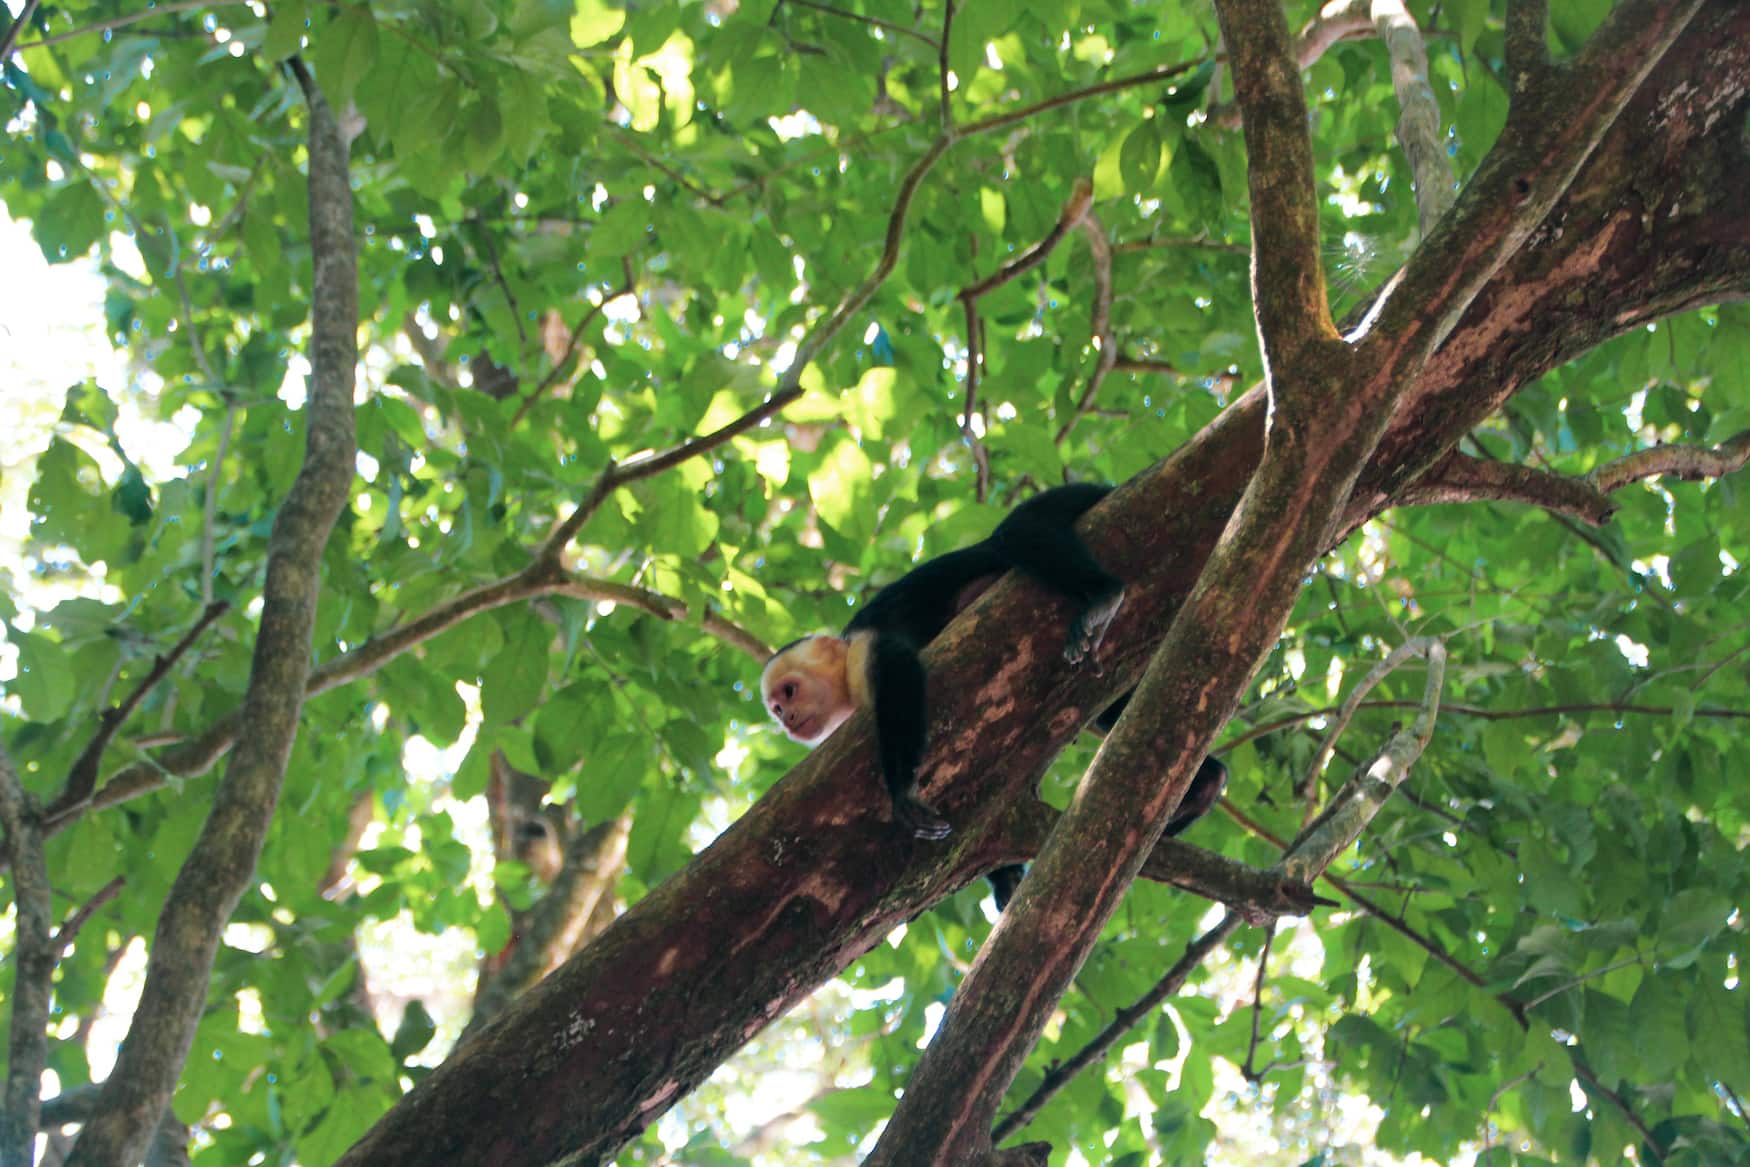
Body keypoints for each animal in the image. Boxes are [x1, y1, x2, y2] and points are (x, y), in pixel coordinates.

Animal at [760, 483, 1228, 906]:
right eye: (777, 708)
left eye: (790, 691)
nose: (787, 719)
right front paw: (1005, 878)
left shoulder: (864, 651)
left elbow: (899, 669)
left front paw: (902, 793)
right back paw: (1205, 783)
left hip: (1079, 497)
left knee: (1016, 532)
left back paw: (1102, 595)